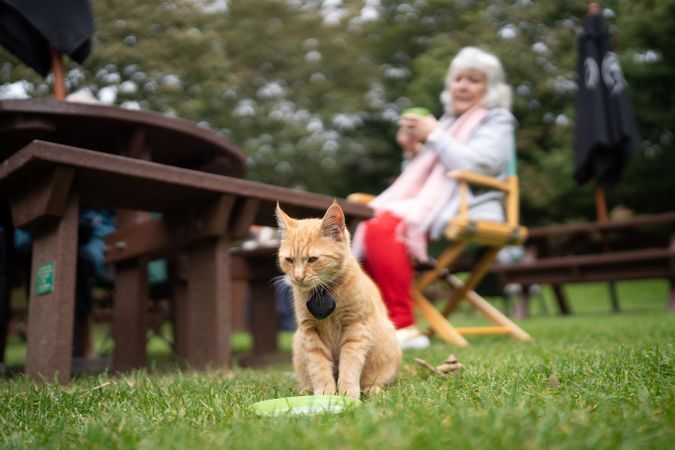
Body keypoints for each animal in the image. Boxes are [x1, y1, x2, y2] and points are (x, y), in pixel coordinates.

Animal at [276, 201, 402, 398]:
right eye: (289, 260)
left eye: (312, 259)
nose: (298, 277)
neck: (324, 292)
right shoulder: (310, 332)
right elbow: (318, 366)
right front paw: (324, 394)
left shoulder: (356, 327)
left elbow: (350, 363)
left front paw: (347, 393)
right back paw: (305, 390)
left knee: (378, 378)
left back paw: (372, 389)